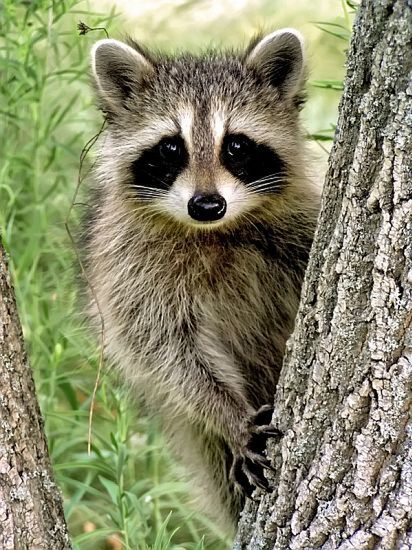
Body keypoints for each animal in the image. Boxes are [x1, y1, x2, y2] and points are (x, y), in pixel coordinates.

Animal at [83, 30, 320, 536]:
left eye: (237, 146)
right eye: (171, 148)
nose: (207, 205)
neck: (213, 232)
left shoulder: (296, 224)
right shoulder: (130, 266)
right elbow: (166, 348)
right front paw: (228, 412)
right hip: (194, 435)